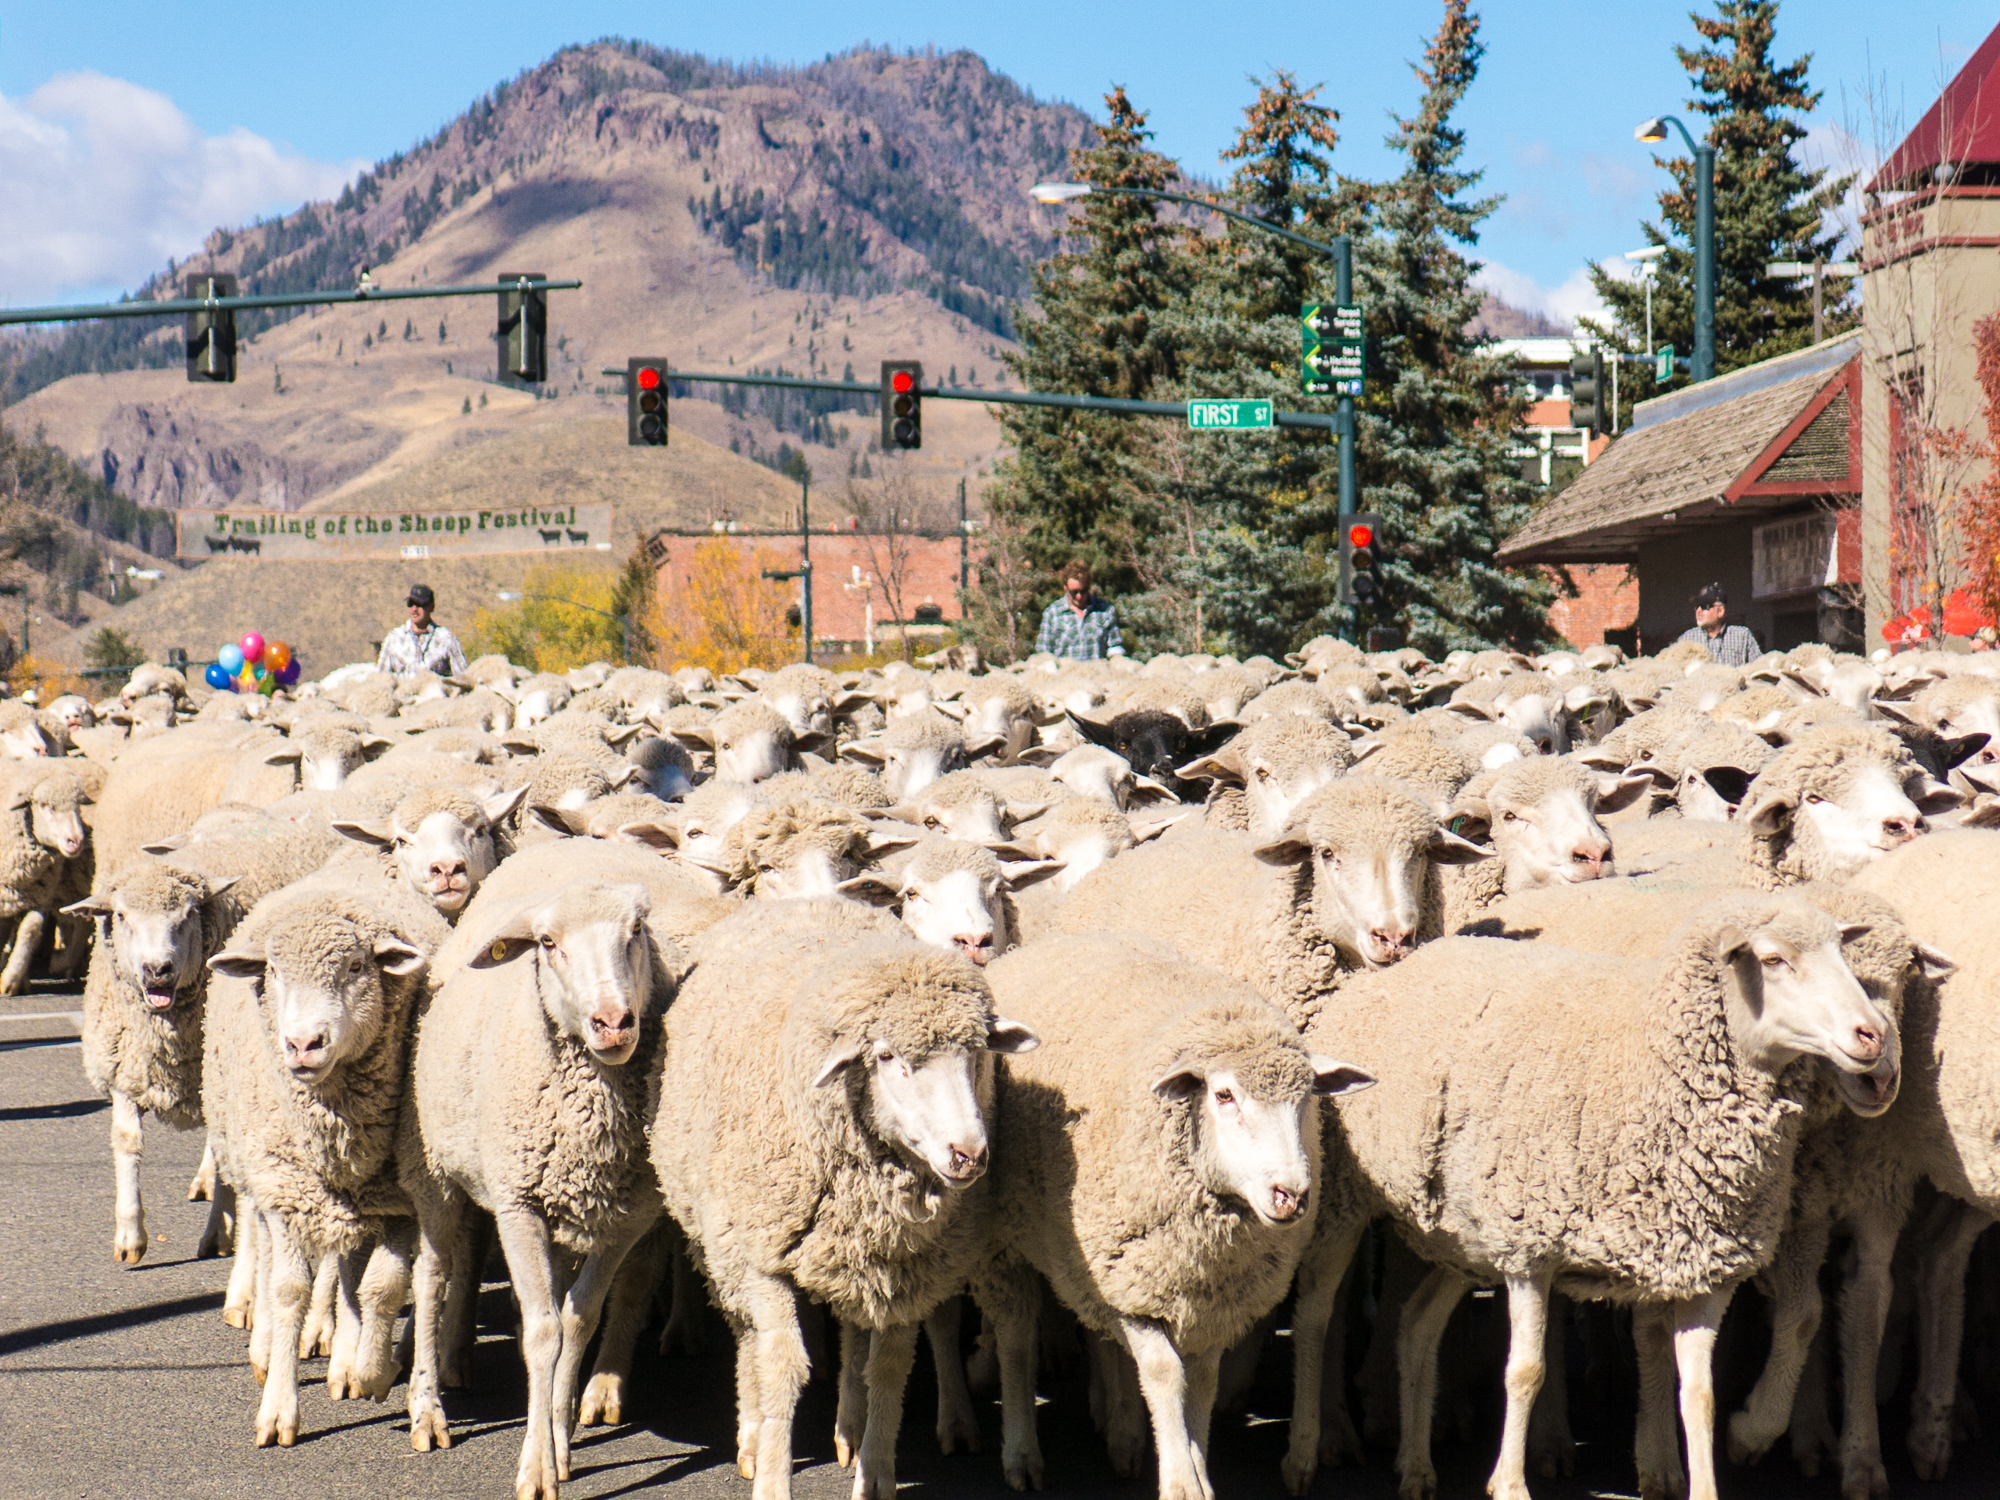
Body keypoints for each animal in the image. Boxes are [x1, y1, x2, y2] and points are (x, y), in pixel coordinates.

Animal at [200, 877, 445, 1445]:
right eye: (273, 970)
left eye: (356, 967)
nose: (303, 1043)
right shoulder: (284, 1191)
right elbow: (289, 1289)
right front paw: (278, 1409)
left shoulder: (400, 1200)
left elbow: (382, 1287)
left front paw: (373, 1372)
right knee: (270, 1257)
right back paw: (266, 1346)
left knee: (350, 1271)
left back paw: (348, 1362)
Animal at [401, 859, 683, 1495]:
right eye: (549, 944)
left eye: (636, 931)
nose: (613, 1022)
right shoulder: (518, 1205)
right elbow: (541, 1332)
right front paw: (536, 1468)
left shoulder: (624, 1219)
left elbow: (578, 1322)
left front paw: (558, 1440)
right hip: (436, 1170)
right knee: (432, 1276)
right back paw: (427, 1408)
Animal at [648, 897, 1039, 1500]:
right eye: (887, 1057)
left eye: (977, 1052)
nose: (969, 1154)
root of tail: (803, 899)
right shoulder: (763, 1257)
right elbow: (781, 1366)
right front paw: (773, 1477)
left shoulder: (902, 1266)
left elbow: (890, 1365)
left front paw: (875, 1473)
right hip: (722, 1241)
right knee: (746, 1334)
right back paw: (751, 1434)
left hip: (847, 1254)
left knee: (853, 1330)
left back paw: (849, 1429)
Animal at [974, 933, 1372, 1496]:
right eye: (1223, 1094)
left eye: (1307, 1098)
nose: (1290, 1195)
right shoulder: (1134, 1289)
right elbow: (1164, 1373)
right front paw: (1181, 1481)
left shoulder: (1205, 1298)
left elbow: (1201, 1383)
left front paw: (1198, 1465)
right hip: (1009, 1239)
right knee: (1014, 1333)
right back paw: (1023, 1452)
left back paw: (1122, 1433)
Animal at [1309, 892, 1895, 1500]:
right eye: (1774, 959)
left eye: (1841, 950)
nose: (1872, 1034)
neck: (1649, 1059)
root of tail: (1394, 968)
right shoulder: (1530, 1252)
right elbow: (1526, 1371)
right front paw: (1510, 1485)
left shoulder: (1702, 1265)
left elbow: (1701, 1395)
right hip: (1347, 1199)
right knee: (1315, 1311)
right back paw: (1314, 1446)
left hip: (1462, 1239)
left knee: (1417, 1323)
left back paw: (1416, 1467)